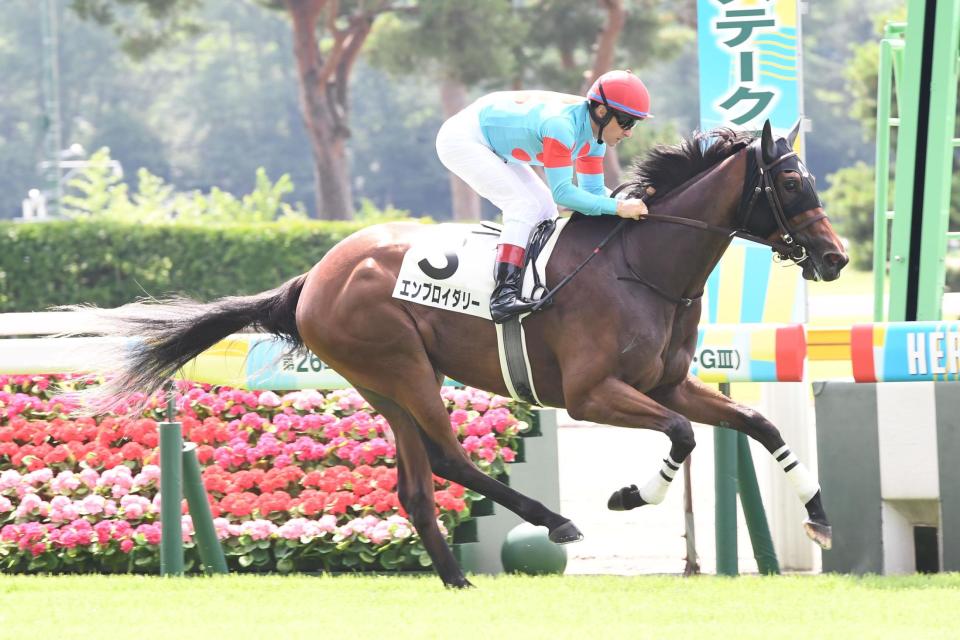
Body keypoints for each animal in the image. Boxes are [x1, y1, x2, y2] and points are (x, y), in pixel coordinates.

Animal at [75, 119, 844, 584]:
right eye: (792, 182)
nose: (835, 258)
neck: (642, 266)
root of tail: (311, 278)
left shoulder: (667, 384)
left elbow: (759, 423)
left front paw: (819, 517)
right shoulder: (592, 394)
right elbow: (682, 434)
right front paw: (629, 494)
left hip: (384, 384)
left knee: (416, 486)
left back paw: (457, 580)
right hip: (403, 367)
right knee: (449, 459)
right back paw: (555, 522)